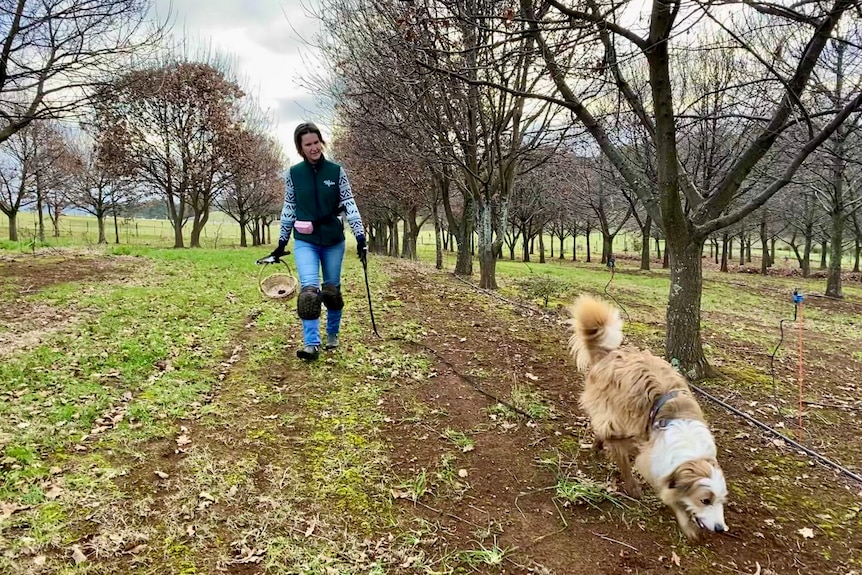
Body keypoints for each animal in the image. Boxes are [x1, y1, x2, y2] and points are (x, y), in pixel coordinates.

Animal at [572, 294, 732, 544]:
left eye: (721, 501)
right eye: (705, 500)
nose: (719, 528)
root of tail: (610, 354)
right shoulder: (655, 462)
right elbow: (670, 495)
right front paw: (685, 523)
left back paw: (599, 447)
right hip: (616, 415)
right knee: (616, 445)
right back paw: (631, 484)